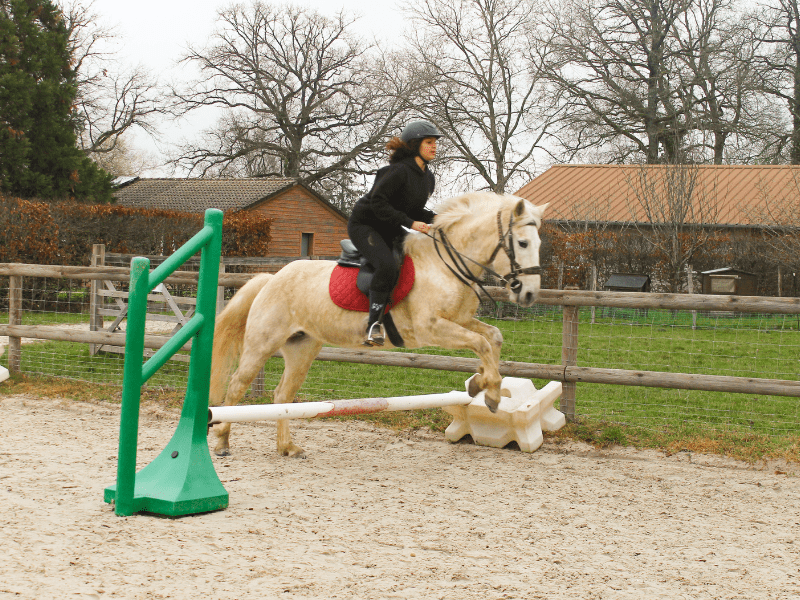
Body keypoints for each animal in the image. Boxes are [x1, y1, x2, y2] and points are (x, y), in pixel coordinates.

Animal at [209, 195, 548, 458]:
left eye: (539, 243)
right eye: (522, 243)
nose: (529, 294)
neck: (444, 266)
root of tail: (271, 278)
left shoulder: (461, 321)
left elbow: (493, 338)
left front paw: (483, 384)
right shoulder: (433, 328)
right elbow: (481, 343)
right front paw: (489, 393)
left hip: (302, 348)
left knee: (282, 395)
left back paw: (288, 447)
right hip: (262, 343)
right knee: (237, 385)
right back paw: (223, 441)